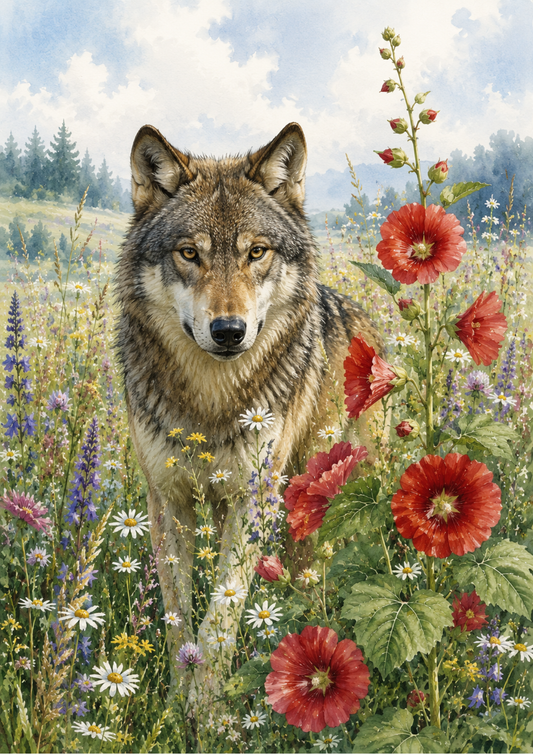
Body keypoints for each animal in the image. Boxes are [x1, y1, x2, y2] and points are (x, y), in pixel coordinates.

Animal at [116, 122, 383, 691]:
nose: (228, 331)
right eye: (189, 254)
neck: (212, 399)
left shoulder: (252, 498)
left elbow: (222, 611)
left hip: (312, 498)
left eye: (256, 252)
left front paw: (208, 702)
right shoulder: (166, 501)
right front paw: (180, 697)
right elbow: (179, 616)